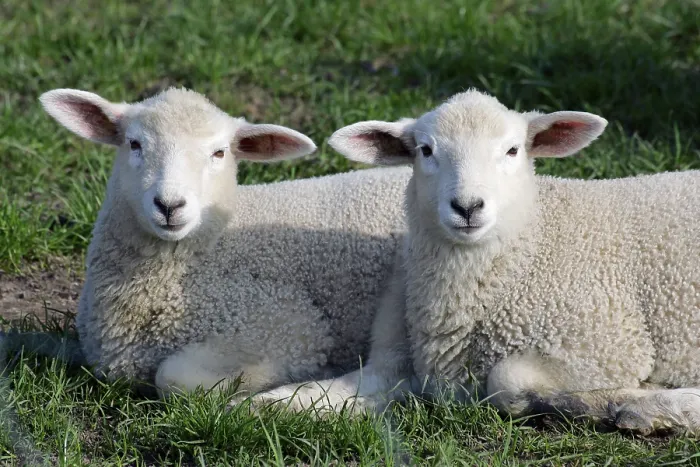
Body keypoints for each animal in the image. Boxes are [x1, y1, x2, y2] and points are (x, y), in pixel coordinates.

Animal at [243, 89, 700, 436]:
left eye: (513, 150)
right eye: (425, 150)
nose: (467, 207)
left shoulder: (607, 346)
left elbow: (507, 381)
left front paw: (653, 405)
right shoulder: (399, 361)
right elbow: (325, 391)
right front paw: (259, 405)